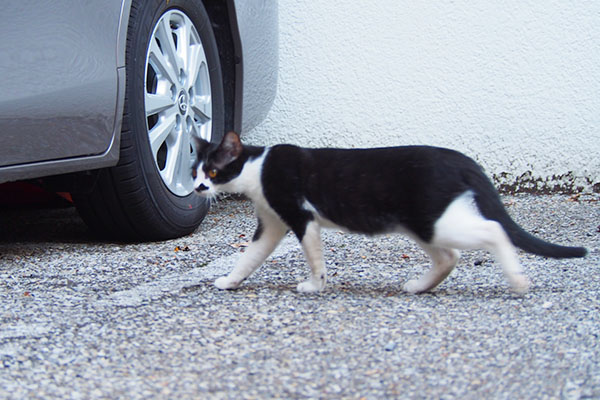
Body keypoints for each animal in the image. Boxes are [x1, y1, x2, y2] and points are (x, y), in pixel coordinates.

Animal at [192, 131, 584, 294]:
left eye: (212, 171)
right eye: (194, 170)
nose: (198, 188)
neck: (257, 168)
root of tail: (459, 159)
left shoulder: (300, 216)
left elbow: (315, 258)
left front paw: (315, 286)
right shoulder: (272, 223)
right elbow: (250, 256)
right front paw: (230, 281)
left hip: (432, 221)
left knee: (493, 231)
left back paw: (517, 282)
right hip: (421, 224)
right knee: (449, 257)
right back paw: (419, 288)